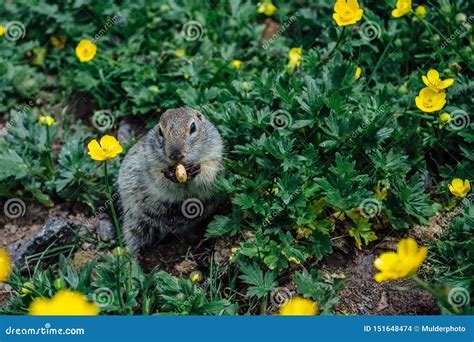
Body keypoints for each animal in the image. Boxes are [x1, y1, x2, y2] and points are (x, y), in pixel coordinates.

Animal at [117, 108, 223, 252]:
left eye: (193, 127)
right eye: (160, 131)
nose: (175, 154)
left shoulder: (214, 154)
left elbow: (209, 173)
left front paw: (198, 170)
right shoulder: (151, 163)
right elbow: (158, 177)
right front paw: (169, 176)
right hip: (135, 222)